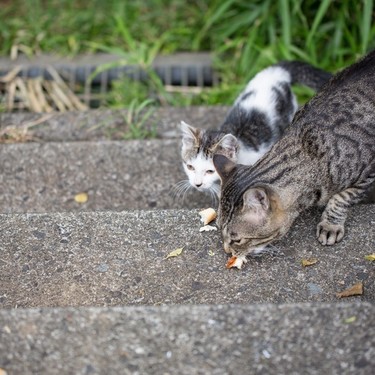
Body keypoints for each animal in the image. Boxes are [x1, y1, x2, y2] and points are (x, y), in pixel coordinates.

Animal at [214, 50, 375, 268]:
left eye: (236, 239)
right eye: (218, 228)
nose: (226, 250)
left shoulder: (368, 171)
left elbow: (342, 198)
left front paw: (330, 224)